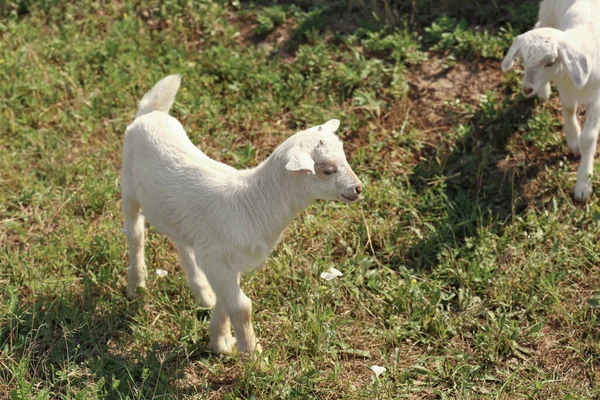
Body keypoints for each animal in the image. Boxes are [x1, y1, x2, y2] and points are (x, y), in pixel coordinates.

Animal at [121, 73, 364, 352]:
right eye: (327, 170)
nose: (358, 188)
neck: (252, 203)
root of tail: (151, 113)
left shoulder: (225, 262)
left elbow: (227, 302)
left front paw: (220, 341)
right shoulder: (218, 260)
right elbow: (241, 306)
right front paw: (252, 353)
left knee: (181, 242)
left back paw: (202, 294)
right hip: (128, 184)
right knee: (135, 234)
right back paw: (136, 285)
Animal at [502, 0, 600, 200]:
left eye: (550, 62)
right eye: (523, 59)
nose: (527, 89)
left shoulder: (596, 98)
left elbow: (589, 138)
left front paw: (583, 185)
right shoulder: (565, 89)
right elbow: (568, 110)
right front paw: (573, 141)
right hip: (547, 11)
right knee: (539, 24)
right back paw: (543, 92)